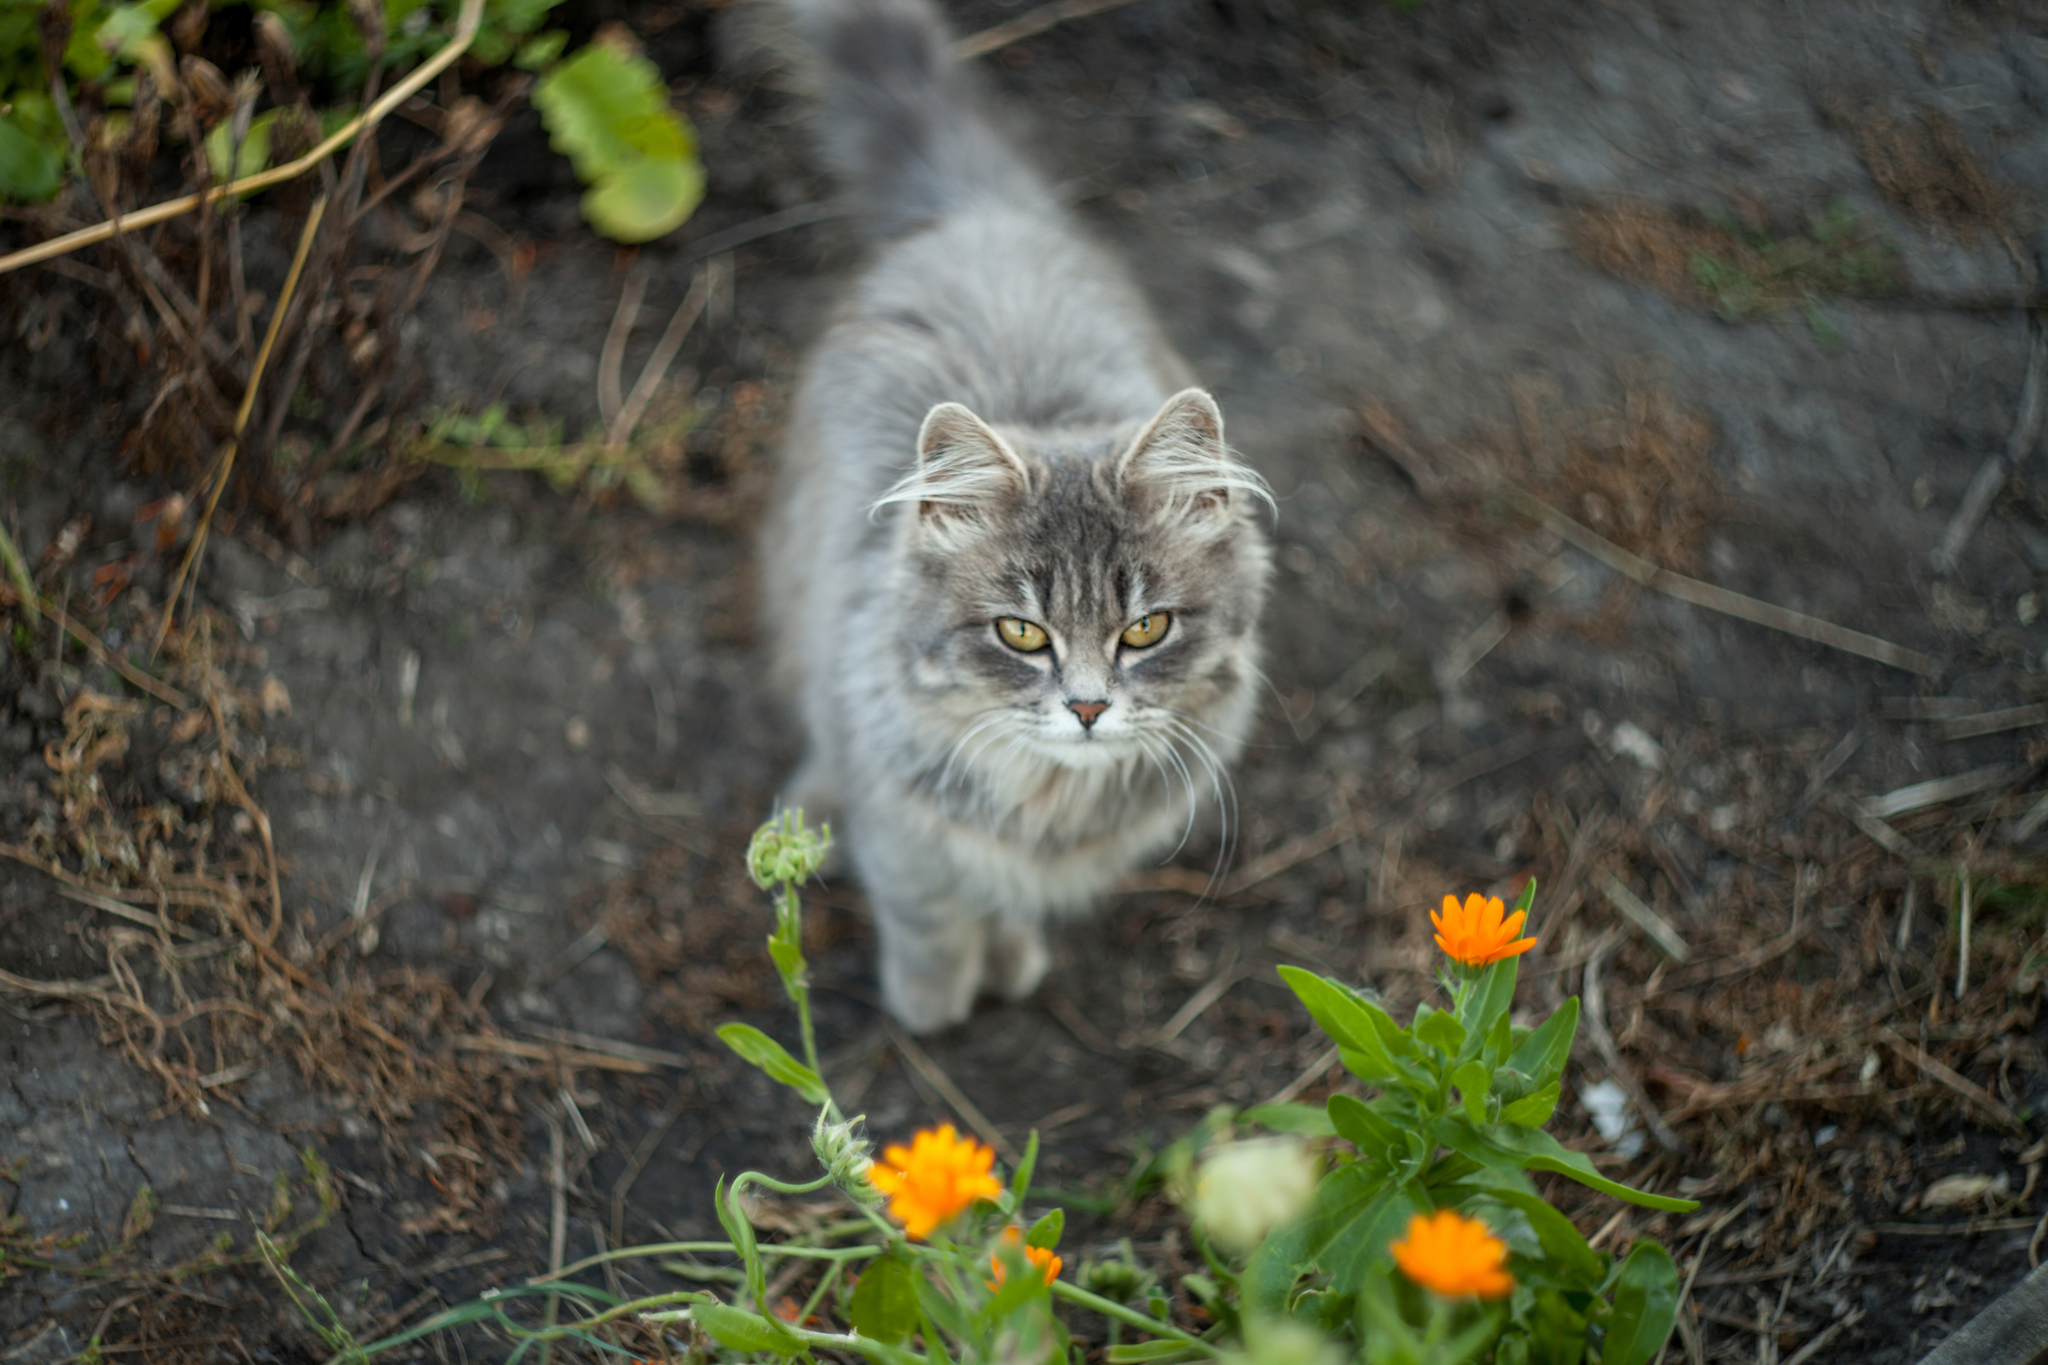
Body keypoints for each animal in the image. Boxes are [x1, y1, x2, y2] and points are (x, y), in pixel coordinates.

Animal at [761, 0, 1269, 1031]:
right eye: (1021, 633)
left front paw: (1006, 955)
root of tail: (983, 216)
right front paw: (932, 998)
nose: (1087, 706)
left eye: (1146, 628)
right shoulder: (901, 813)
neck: (1049, 800)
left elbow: (998, 897)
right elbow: (924, 903)